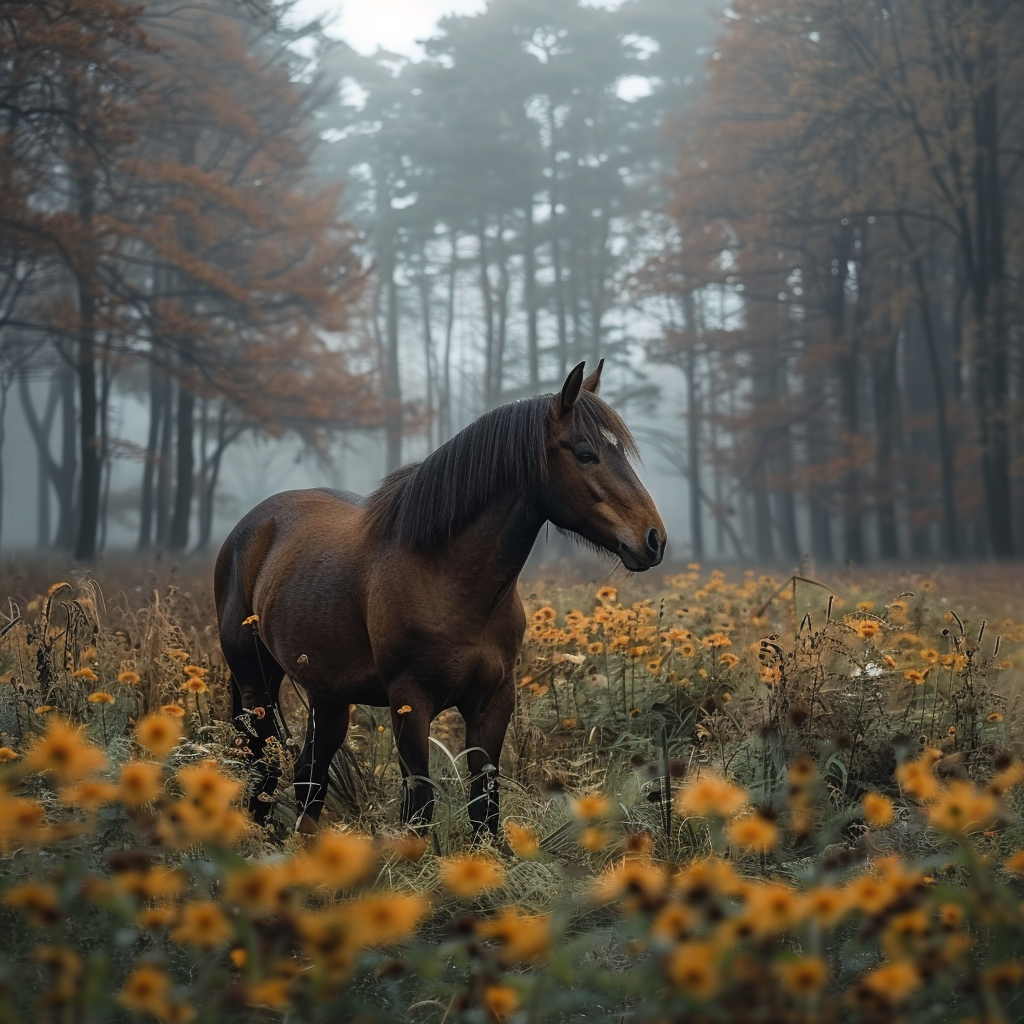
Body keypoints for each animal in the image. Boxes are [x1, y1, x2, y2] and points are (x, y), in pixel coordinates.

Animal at [214, 360, 666, 838]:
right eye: (584, 453)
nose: (653, 539)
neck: (448, 579)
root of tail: (251, 527)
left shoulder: (493, 703)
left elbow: (484, 805)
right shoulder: (411, 704)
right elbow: (419, 806)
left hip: (327, 693)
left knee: (309, 774)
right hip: (256, 681)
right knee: (263, 766)